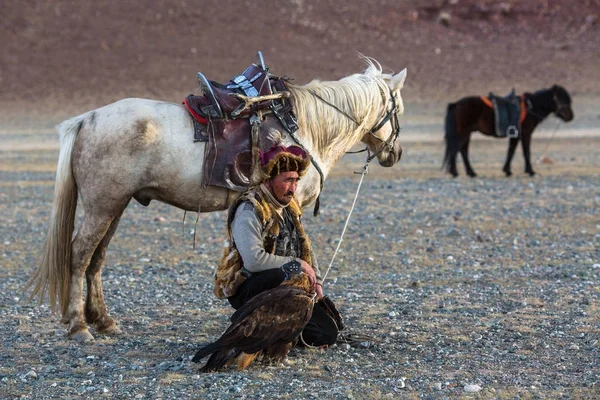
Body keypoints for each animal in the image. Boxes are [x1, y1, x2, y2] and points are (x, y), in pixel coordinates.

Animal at [27, 59, 404, 340]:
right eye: (397, 106)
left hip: (114, 206)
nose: (395, 153)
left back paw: (103, 321)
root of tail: (86, 119)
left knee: (97, 258)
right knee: (80, 255)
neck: (305, 127)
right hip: (102, 206)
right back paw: (79, 326)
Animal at [442, 85, 576, 177]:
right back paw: (455, 172)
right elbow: (526, 151)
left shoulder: (515, 135)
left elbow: (511, 151)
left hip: (467, 132)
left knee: (462, 150)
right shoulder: (526, 133)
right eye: (561, 99)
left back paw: (470, 173)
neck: (531, 107)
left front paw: (507, 170)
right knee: (457, 149)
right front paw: (530, 171)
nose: (571, 117)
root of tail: (456, 104)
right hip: (464, 132)